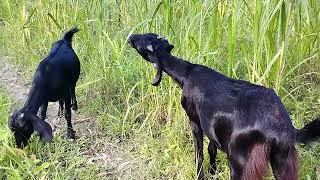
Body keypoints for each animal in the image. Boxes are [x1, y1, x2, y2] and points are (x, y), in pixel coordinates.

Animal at [129, 32, 320, 180]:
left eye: (143, 41)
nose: (131, 37)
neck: (187, 73)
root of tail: (284, 129)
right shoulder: (213, 128)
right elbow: (211, 149)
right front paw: (213, 171)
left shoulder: (194, 121)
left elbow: (199, 154)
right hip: (282, 161)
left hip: (240, 163)